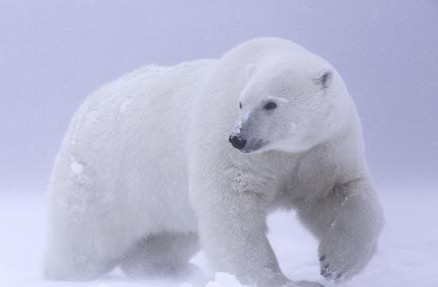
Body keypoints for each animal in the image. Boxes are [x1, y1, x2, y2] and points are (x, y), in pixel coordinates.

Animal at [44, 38, 384, 287]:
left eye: (271, 104)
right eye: (242, 103)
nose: (238, 138)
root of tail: (86, 107)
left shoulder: (322, 148)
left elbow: (338, 194)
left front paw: (336, 265)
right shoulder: (229, 144)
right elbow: (231, 209)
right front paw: (286, 281)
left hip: (163, 199)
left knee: (172, 236)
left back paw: (168, 269)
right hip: (101, 180)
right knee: (84, 243)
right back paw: (60, 273)